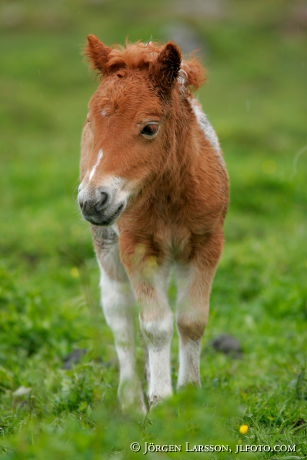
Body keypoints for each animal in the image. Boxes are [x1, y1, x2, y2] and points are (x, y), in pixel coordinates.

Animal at [78, 34, 230, 412]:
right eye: (90, 122)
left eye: (149, 128)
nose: (93, 201)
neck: (170, 199)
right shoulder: (137, 248)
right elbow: (155, 325)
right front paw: (160, 401)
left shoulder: (207, 244)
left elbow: (191, 320)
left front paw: (189, 393)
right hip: (109, 247)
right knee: (121, 316)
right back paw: (132, 400)